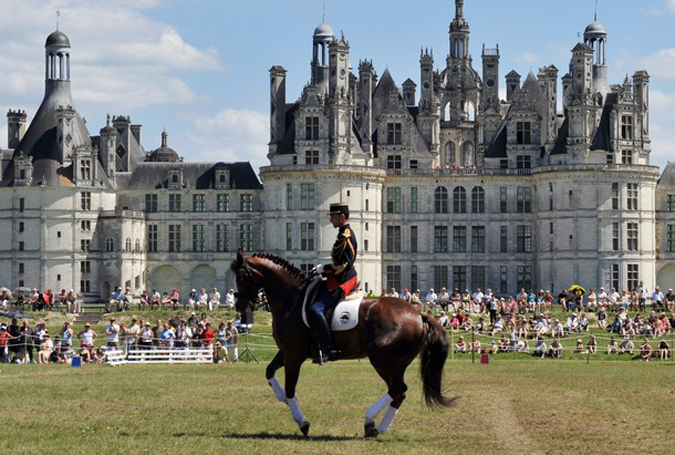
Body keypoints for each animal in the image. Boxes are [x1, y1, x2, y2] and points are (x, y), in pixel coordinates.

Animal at [230, 249, 456, 438]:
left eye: (242, 277)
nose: (240, 306)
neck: (291, 300)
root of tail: (418, 314)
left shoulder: (294, 355)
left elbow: (290, 389)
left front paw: (302, 423)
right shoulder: (286, 352)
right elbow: (269, 371)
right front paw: (280, 397)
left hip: (381, 359)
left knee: (397, 389)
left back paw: (369, 421)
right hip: (397, 362)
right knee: (399, 392)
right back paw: (376, 427)